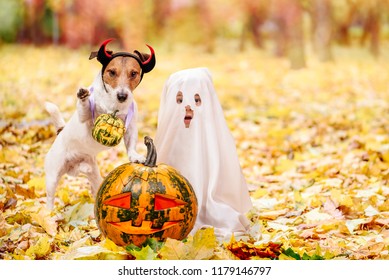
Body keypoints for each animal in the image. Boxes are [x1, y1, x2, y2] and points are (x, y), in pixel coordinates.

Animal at [44, 40, 156, 210]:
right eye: (112, 72)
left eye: (133, 73)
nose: (122, 96)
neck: (114, 106)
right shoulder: (85, 119)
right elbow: (85, 108)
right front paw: (83, 97)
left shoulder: (130, 127)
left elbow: (131, 144)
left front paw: (135, 156)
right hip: (52, 176)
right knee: (50, 199)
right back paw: (49, 214)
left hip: (95, 177)